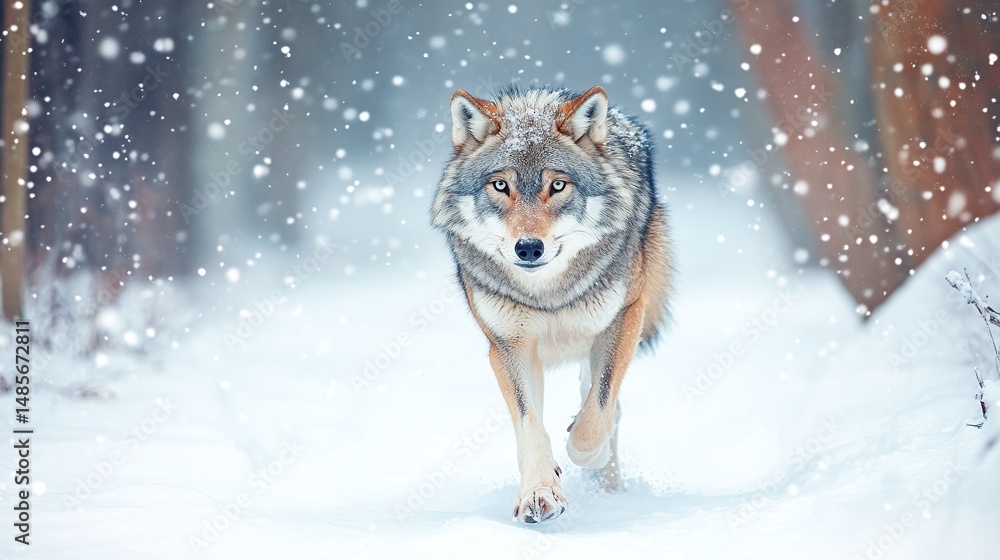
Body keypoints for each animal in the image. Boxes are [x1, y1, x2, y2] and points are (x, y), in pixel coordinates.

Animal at [431, 85, 672, 523]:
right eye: (501, 186)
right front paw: (540, 493)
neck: (548, 295)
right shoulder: (509, 347)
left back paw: (610, 489)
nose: (528, 247)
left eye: (557, 186)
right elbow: (530, 426)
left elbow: (598, 415)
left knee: (604, 401)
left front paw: (585, 453)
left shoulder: (623, 319)